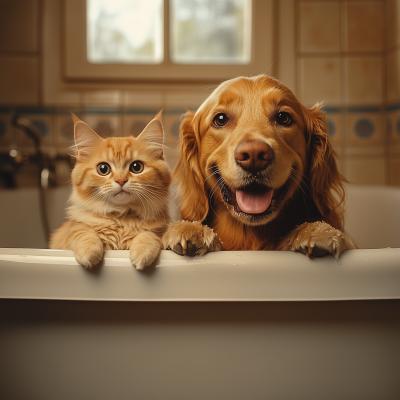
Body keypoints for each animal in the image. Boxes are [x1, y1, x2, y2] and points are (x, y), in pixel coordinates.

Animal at [50, 111, 170, 270]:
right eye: (103, 169)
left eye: (136, 167)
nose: (121, 180)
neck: (121, 218)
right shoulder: (70, 233)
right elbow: (82, 233)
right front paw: (89, 251)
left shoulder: (160, 231)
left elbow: (149, 235)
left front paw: (142, 251)